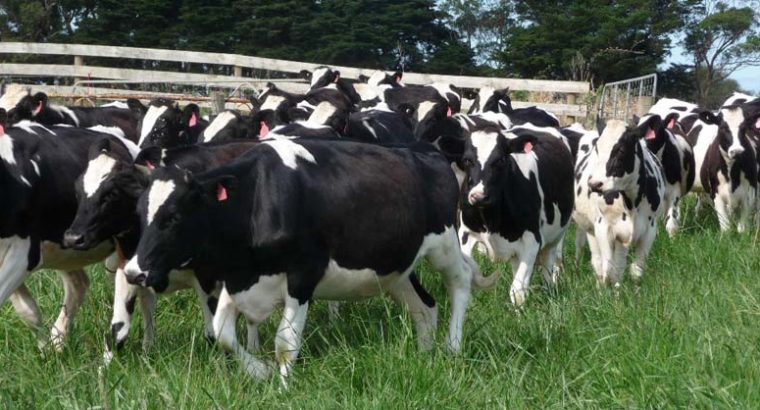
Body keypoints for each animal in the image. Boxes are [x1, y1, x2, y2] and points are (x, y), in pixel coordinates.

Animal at [0, 114, 130, 350]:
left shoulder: (24, 254)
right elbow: (28, 310)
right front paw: (45, 350)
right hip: (64, 253)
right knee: (78, 284)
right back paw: (58, 341)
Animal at [63, 140, 261, 353]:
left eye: (111, 194)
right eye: (77, 191)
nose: (73, 238)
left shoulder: (207, 277)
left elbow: (213, 332)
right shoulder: (127, 269)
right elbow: (118, 330)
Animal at [122, 138, 481, 383]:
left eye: (173, 217)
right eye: (138, 212)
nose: (133, 272)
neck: (257, 200)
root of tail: (430, 154)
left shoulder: (303, 275)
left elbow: (285, 342)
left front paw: (281, 386)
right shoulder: (240, 278)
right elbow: (223, 333)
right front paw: (260, 371)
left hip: (444, 245)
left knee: (460, 281)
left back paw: (452, 347)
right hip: (395, 267)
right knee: (424, 307)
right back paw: (425, 353)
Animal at [458, 122, 574, 306]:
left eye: (500, 160)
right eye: (467, 160)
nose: (478, 196)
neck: (491, 220)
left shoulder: (532, 240)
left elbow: (517, 291)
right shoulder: (465, 234)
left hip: (557, 236)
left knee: (550, 263)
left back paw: (549, 291)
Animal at [574, 117, 666, 287]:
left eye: (621, 150)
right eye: (597, 148)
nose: (594, 184)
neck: (631, 202)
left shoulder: (649, 230)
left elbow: (635, 271)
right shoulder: (603, 227)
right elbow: (608, 270)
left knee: (619, 264)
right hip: (588, 228)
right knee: (598, 263)